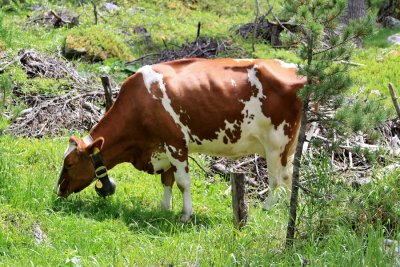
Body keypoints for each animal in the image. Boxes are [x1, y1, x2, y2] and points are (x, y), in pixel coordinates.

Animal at [55, 58, 306, 224]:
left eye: (69, 164)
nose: (59, 190)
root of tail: (294, 69)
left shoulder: (176, 145)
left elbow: (183, 182)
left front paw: (186, 215)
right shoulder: (162, 148)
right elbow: (167, 180)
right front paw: (164, 208)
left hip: (277, 143)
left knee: (277, 179)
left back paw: (267, 208)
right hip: (286, 146)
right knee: (289, 177)